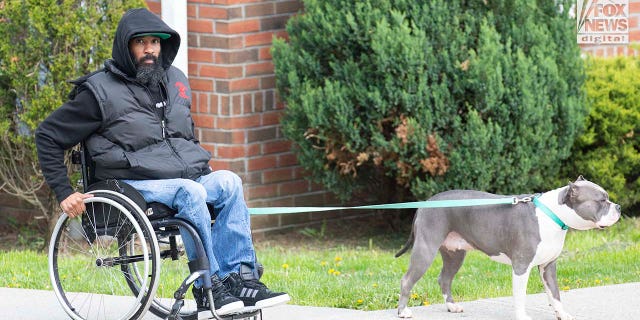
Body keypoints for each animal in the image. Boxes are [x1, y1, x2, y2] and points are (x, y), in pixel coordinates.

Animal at [396, 176, 620, 320]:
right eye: (601, 200)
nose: (618, 207)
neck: (552, 215)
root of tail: (426, 203)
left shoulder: (548, 267)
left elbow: (555, 294)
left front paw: (562, 314)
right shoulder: (521, 266)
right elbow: (520, 296)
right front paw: (522, 316)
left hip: (454, 255)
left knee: (444, 278)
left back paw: (452, 306)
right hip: (426, 249)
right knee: (407, 279)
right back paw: (403, 312)